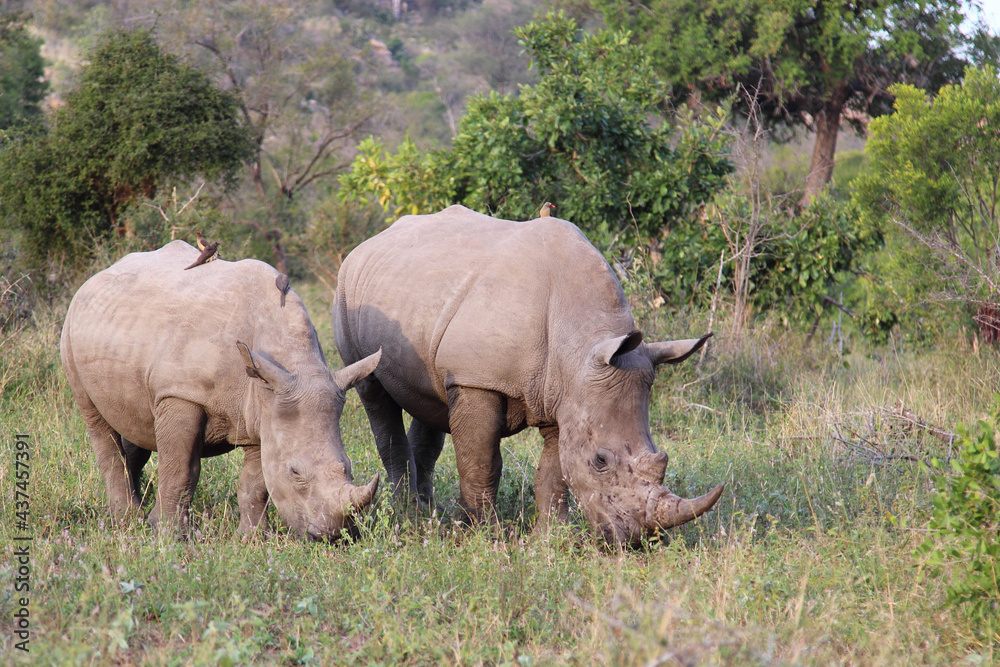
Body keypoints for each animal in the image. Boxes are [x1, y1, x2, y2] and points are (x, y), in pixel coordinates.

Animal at [61, 240, 381, 539]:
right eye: (295, 473)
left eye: (347, 466)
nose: (332, 535)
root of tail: (94, 279)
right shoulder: (182, 393)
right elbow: (180, 469)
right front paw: (168, 534)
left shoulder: (264, 406)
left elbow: (255, 481)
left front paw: (253, 538)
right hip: (70, 334)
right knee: (97, 421)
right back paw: (126, 520)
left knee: (134, 424)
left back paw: (134, 513)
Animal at [333, 205, 724, 546]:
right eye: (600, 461)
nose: (637, 540)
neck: (581, 340)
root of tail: (370, 241)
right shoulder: (478, 381)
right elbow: (482, 463)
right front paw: (487, 536)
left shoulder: (565, 393)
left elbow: (554, 471)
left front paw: (552, 539)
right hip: (346, 291)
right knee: (375, 395)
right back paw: (409, 517)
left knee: (429, 401)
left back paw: (431, 517)